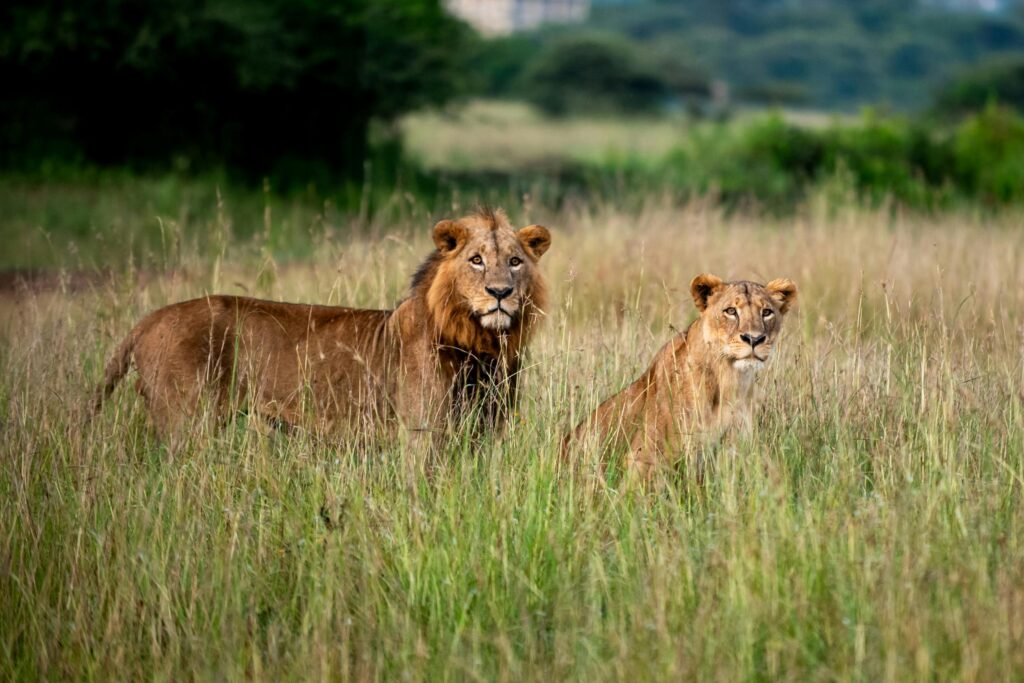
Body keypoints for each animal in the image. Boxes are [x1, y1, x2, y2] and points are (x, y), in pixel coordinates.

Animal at [93, 208, 552, 442]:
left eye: (515, 261)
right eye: (476, 260)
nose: (500, 292)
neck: (481, 344)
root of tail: (148, 319)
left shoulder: (486, 432)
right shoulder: (422, 433)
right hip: (186, 422)